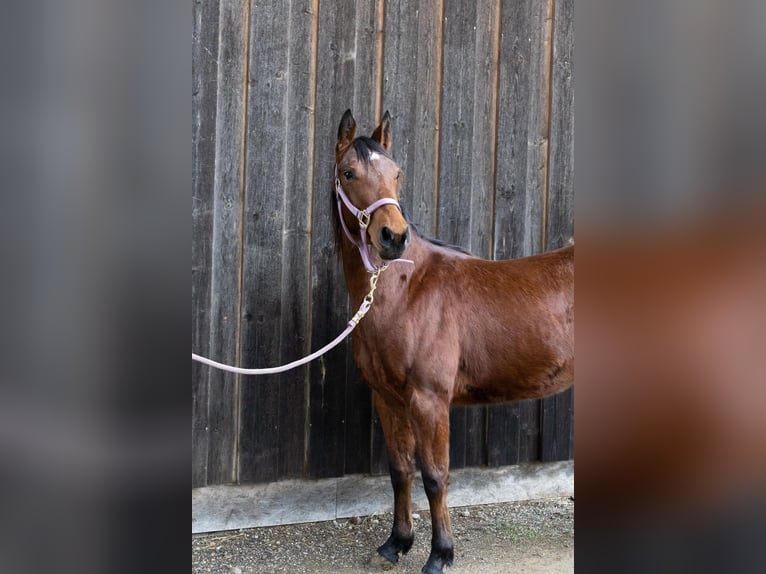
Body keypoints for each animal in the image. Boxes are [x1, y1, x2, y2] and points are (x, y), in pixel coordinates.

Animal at [333, 109, 574, 574]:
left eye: (397, 172)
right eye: (349, 173)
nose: (393, 237)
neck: (407, 291)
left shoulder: (429, 401)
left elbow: (435, 476)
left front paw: (440, 554)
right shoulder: (387, 398)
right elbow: (400, 470)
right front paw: (396, 543)